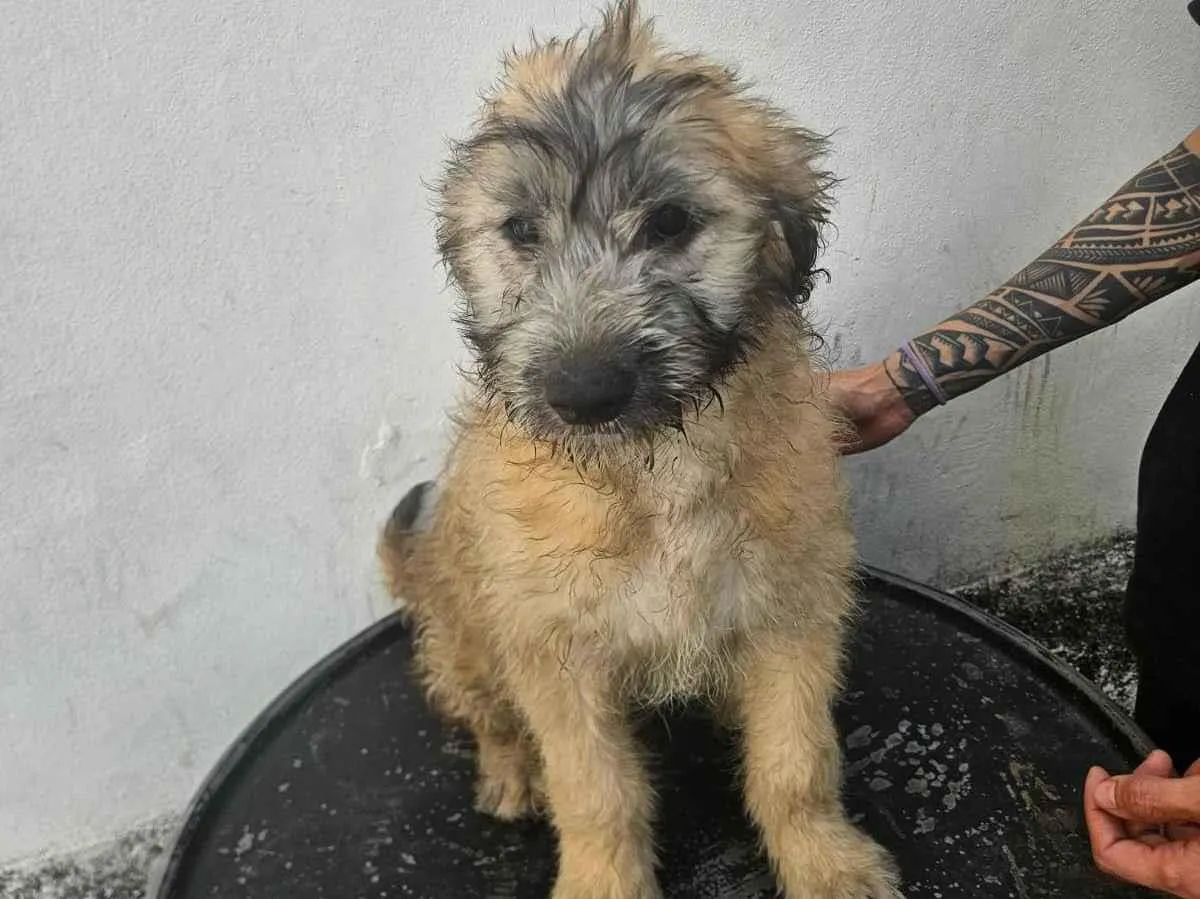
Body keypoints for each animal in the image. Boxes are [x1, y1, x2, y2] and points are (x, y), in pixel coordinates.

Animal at [378, 2, 900, 896]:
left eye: (671, 222)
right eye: (520, 230)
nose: (583, 391)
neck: (653, 471)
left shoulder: (792, 608)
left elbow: (794, 762)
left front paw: (825, 860)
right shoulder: (555, 650)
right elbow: (595, 790)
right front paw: (601, 879)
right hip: (464, 638)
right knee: (491, 718)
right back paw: (510, 772)